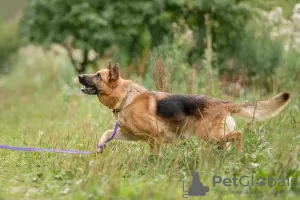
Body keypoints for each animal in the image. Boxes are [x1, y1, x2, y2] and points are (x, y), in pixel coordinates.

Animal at [77, 61, 290, 154]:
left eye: (98, 76)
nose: (79, 75)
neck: (126, 98)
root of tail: (224, 103)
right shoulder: (132, 135)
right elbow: (106, 133)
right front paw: (100, 147)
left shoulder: (154, 137)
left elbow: (153, 156)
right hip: (214, 139)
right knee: (230, 140)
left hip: (208, 135)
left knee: (238, 134)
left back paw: (239, 153)